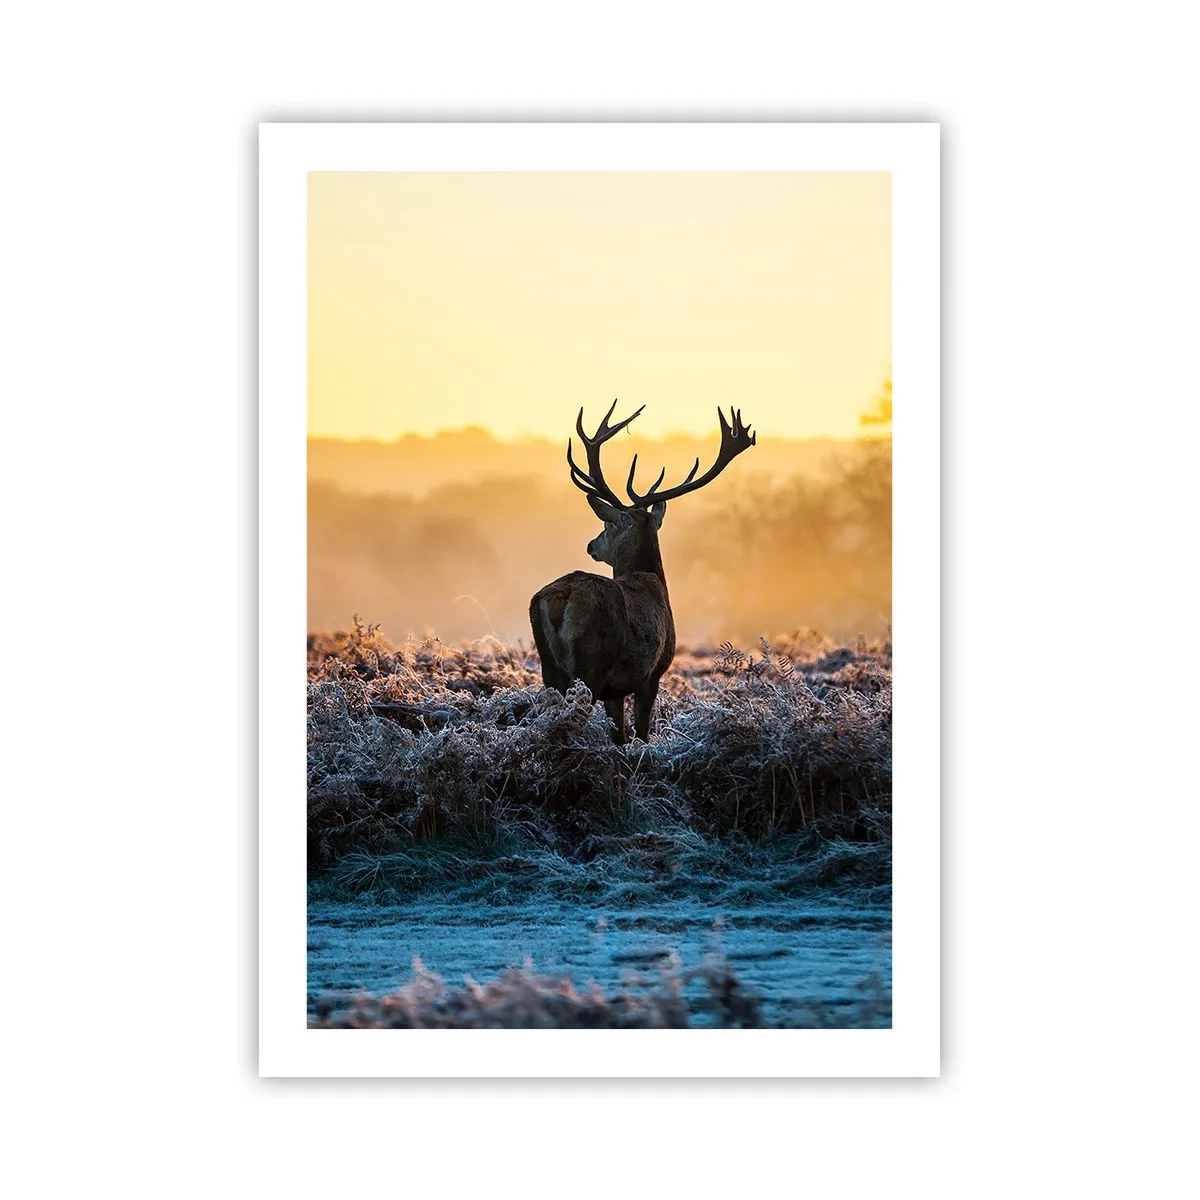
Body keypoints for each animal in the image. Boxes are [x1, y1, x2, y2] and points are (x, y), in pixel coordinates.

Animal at [529, 401, 756, 744]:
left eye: (606, 524)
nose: (591, 545)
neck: (651, 578)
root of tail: (558, 598)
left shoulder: (616, 690)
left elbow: (620, 736)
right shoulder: (651, 673)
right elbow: (642, 733)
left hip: (550, 667)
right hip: (591, 663)